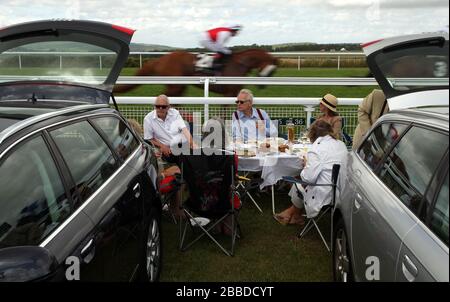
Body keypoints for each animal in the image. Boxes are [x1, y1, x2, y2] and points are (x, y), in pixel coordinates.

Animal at [112, 48, 278, 96]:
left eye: (273, 72)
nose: (263, 85)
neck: (238, 65)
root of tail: (161, 59)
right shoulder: (228, 93)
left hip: (179, 87)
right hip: (175, 86)